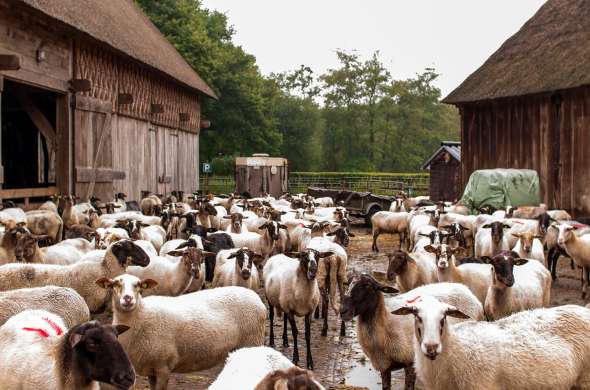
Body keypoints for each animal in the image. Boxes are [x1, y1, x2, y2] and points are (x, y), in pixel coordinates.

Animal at [99, 274, 266, 390]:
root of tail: (257, 298)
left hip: (252, 340)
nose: (128, 299)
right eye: (115, 284)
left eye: (139, 285)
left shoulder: (163, 367)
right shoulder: (151, 369)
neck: (142, 315)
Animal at [342, 274, 486, 390]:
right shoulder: (384, 367)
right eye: (347, 284)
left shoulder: (409, 363)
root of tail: (465, 289)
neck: (387, 321)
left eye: (367, 285)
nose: (343, 311)